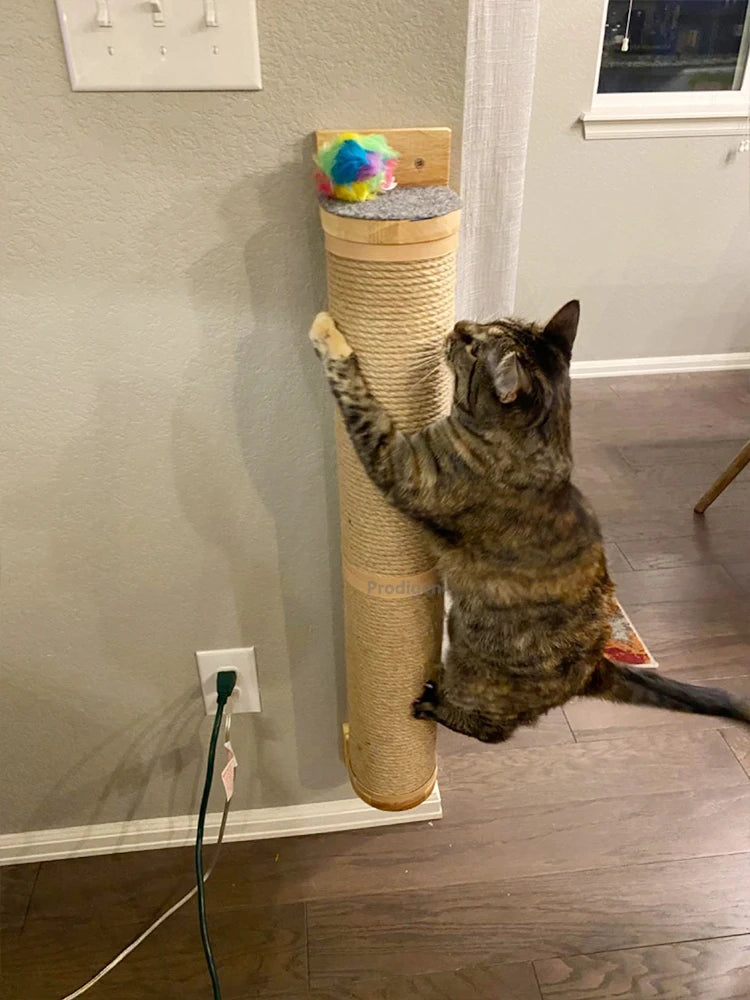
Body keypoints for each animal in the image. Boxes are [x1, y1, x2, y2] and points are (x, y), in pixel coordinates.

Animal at [310, 304, 750, 744]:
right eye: (485, 325)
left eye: (474, 347)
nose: (459, 325)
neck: (539, 441)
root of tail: (595, 665)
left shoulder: (401, 465)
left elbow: (360, 400)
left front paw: (328, 334)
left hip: (475, 670)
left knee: (493, 730)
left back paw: (436, 703)